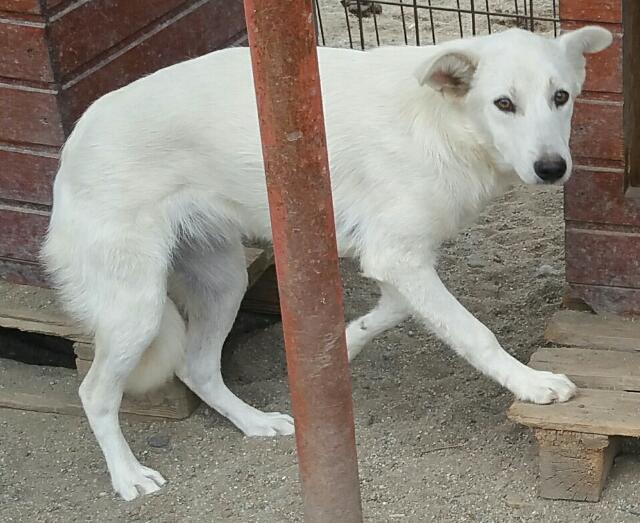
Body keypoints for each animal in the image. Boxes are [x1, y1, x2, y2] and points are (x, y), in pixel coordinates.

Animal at [42, 26, 612, 500]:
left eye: (561, 97)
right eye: (503, 103)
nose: (552, 167)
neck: (442, 124)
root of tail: (74, 141)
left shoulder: (397, 260)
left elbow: (393, 312)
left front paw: (342, 344)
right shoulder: (398, 257)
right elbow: (475, 334)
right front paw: (532, 384)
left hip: (223, 282)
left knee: (197, 367)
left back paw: (255, 423)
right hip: (135, 307)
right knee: (95, 393)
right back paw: (128, 476)